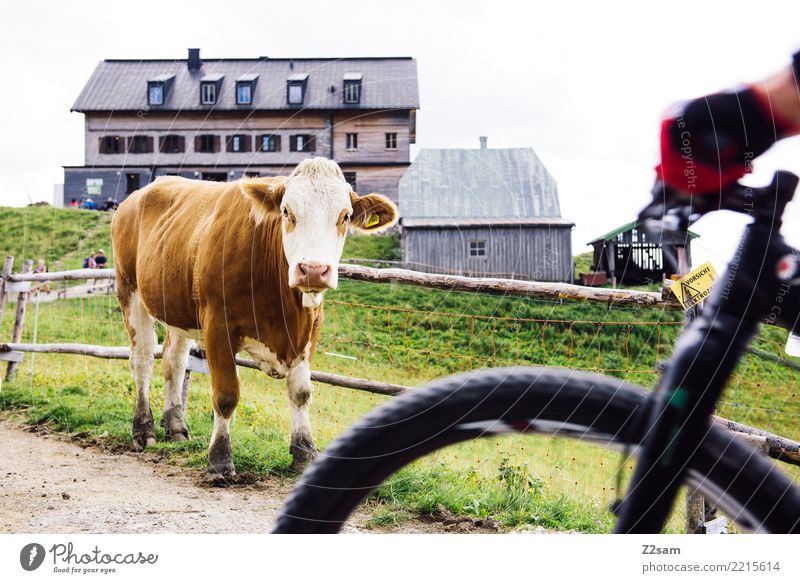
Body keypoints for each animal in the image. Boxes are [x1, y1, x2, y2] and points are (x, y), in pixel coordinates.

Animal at [111, 157, 398, 476]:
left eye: (345, 215)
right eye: (286, 211)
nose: (312, 270)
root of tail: (138, 195)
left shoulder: (310, 328)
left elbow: (301, 392)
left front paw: (305, 452)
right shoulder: (216, 325)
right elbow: (226, 395)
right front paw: (219, 460)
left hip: (178, 308)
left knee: (173, 361)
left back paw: (175, 427)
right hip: (129, 290)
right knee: (143, 360)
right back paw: (143, 429)